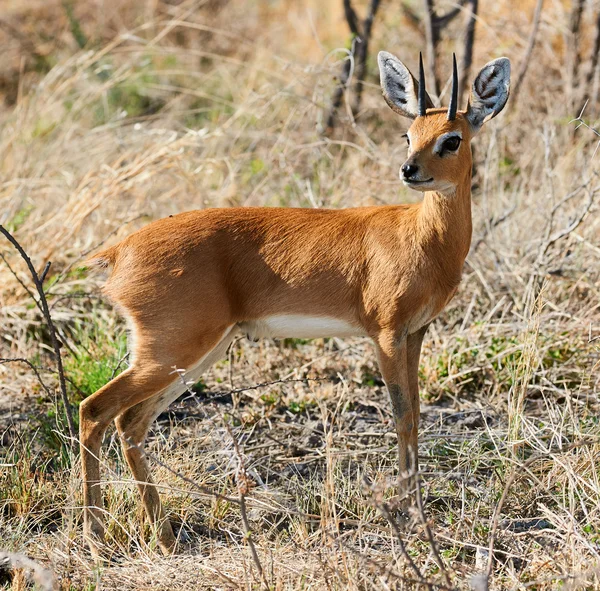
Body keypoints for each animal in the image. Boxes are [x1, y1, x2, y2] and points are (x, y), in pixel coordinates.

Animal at [79, 51, 510, 556]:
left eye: (452, 138)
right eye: (409, 134)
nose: (409, 170)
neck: (422, 239)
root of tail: (120, 250)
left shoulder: (415, 333)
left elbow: (417, 413)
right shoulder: (385, 334)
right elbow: (402, 415)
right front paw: (410, 511)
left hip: (196, 354)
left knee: (130, 423)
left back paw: (165, 539)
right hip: (170, 352)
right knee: (94, 410)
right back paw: (96, 537)